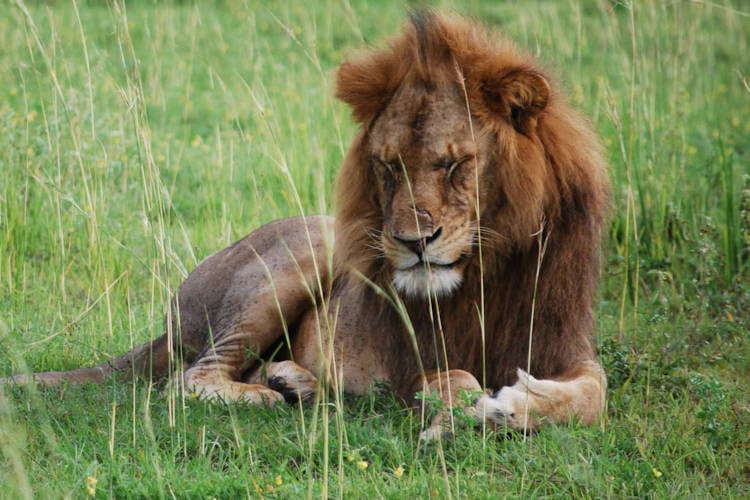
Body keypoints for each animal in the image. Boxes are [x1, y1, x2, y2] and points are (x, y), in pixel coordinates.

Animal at [4, 11, 612, 440]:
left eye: (454, 164)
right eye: (388, 167)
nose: (412, 243)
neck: (487, 269)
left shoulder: (564, 343)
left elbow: (595, 393)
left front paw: (513, 404)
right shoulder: (411, 363)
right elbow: (455, 379)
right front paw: (465, 417)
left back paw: (294, 380)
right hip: (305, 252)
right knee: (190, 376)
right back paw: (271, 393)